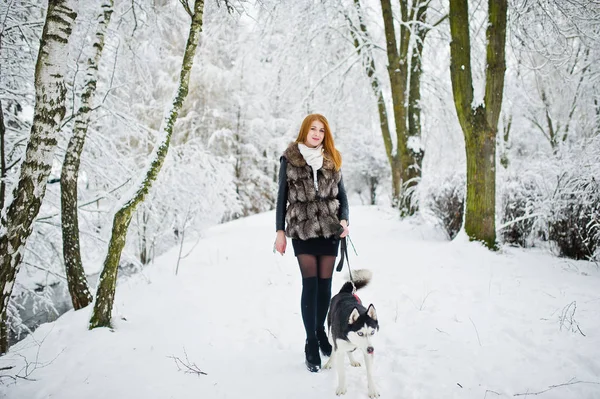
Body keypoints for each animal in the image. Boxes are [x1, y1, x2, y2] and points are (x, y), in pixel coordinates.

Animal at [324, 270, 380, 398]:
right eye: (360, 333)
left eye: (372, 332)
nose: (371, 349)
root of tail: (344, 292)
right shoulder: (340, 348)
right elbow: (342, 372)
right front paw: (341, 388)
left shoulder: (366, 350)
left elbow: (370, 373)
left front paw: (372, 389)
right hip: (330, 336)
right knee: (333, 349)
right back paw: (330, 362)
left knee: (350, 350)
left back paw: (353, 360)